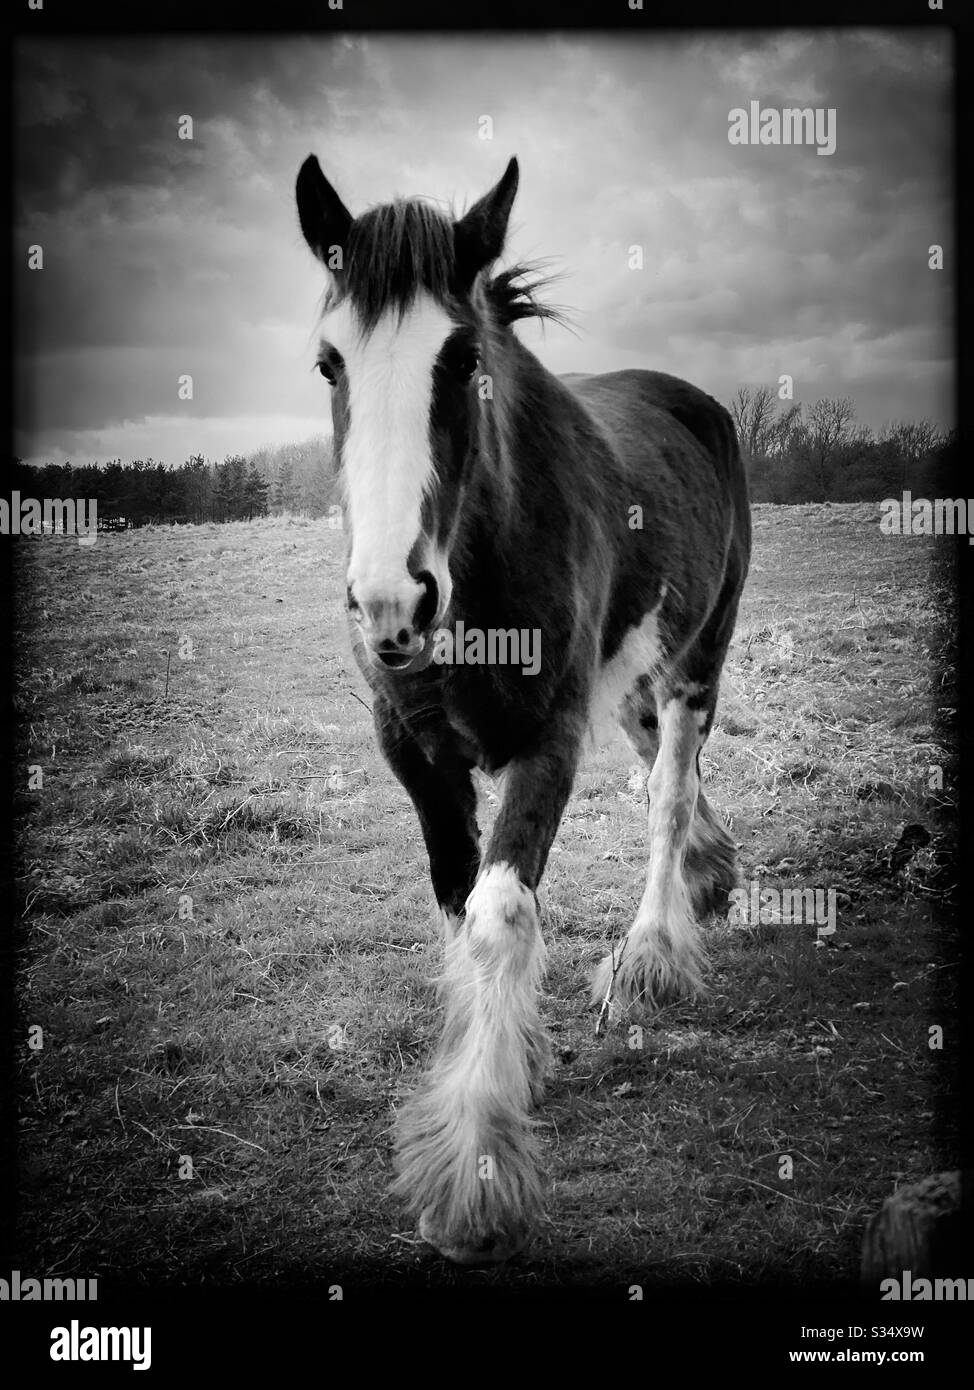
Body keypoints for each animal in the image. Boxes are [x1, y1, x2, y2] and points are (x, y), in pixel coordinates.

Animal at [295, 153, 751, 1265]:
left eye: (463, 355)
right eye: (329, 361)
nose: (391, 599)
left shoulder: (548, 741)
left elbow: (499, 916)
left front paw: (474, 1174)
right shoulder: (415, 756)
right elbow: (458, 911)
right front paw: (498, 1068)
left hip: (695, 659)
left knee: (670, 794)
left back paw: (651, 955)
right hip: (632, 677)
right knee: (663, 782)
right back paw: (709, 876)